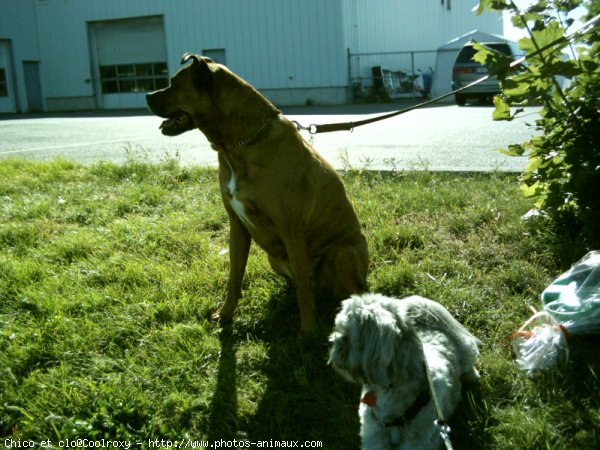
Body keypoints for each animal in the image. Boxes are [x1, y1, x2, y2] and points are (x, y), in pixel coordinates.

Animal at [148, 53, 368, 334]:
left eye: (175, 84)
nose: (147, 95)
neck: (237, 145)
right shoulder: (237, 228)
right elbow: (234, 277)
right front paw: (225, 315)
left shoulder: (291, 229)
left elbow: (303, 291)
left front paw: (308, 331)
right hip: (276, 258)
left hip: (341, 252)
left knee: (342, 290)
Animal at [326, 294, 480, 448]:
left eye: (345, 336)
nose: (332, 341)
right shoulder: (374, 434)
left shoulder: (418, 442)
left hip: (466, 350)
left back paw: (472, 376)